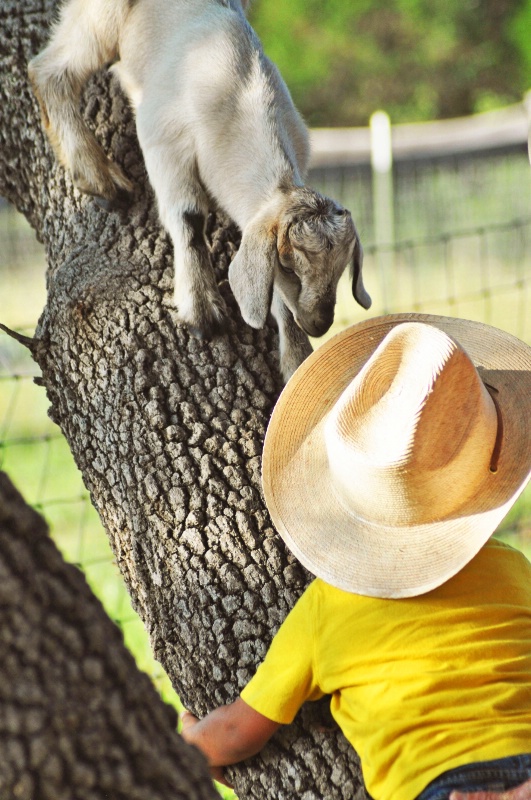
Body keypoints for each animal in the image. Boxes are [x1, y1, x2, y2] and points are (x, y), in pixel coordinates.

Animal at [28, 0, 370, 382]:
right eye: (288, 265)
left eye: (342, 268)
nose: (319, 324)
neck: (240, 94)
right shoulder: (163, 137)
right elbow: (188, 217)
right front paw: (202, 313)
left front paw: (297, 359)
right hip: (102, 17)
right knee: (50, 71)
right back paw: (100, 179)